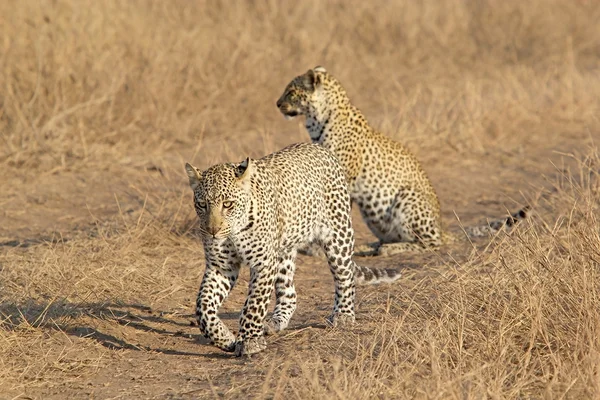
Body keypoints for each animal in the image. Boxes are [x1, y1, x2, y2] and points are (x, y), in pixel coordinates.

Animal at [186, 143, 404, 356]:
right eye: (202, 204)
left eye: (228, 204)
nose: (212, 231)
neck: (234, 231)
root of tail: (319, 147)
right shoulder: (221, 266)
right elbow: (203, 306)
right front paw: (225, 338)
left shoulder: (263, 264)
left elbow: (254, 305)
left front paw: (249, 341)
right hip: (284, 252)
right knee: (289, 293)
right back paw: (275, 322)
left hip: (338, 236)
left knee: (345, 277)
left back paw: (343, 315)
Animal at [274, 66, 528, 256]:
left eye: (291, 91)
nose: (277, 104)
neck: (317, 120)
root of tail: (442, 227)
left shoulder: (340, 179)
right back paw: (370, 246)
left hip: (407, 198)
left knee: (431, 244)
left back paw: (389, 249)